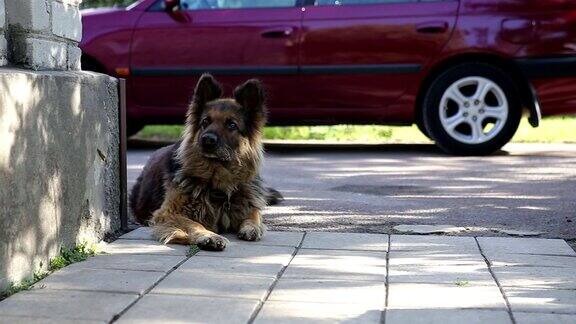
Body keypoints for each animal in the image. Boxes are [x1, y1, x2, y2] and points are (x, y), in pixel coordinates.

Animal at [131, 74, 284, 252]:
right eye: (205, 121)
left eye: (231, 125)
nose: (207, 139)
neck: (217, 181)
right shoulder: (168, 213)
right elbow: (194, 224)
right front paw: (209, 237)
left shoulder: (248, 204)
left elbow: (255, 214)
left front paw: (252, 227)